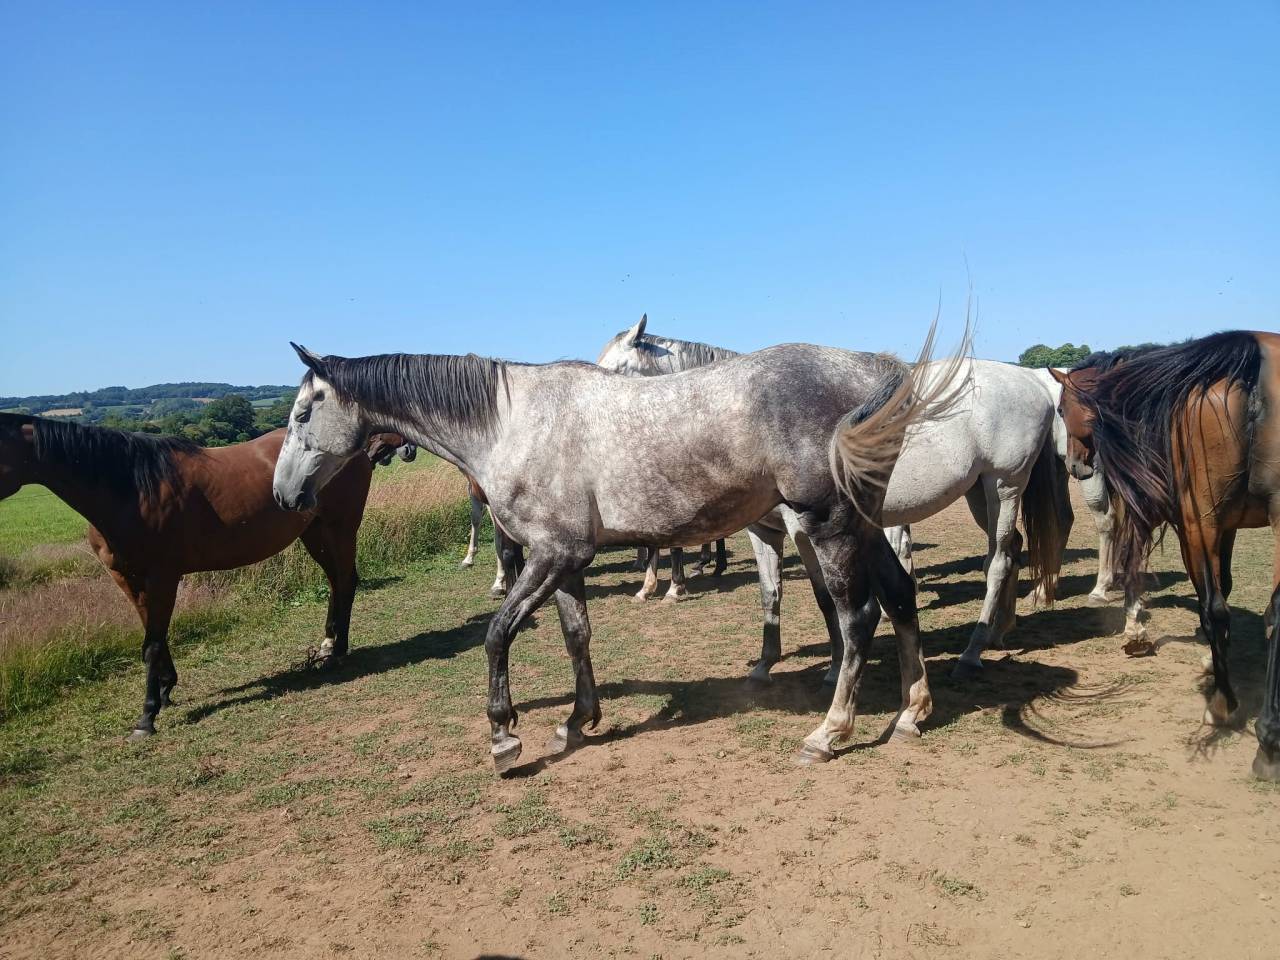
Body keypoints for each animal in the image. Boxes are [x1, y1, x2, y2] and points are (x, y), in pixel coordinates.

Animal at [0, 413, 394, 739]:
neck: (130, 491)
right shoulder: (128, 579)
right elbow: (153, 638)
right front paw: (165, 690)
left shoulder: (162, 577)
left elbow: (152, 643)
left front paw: (146, 717)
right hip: (315, 533)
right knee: (335, 583)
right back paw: (327, 645)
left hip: (339, 528)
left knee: (345, 582)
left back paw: (338, 650)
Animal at [273, 332, 967, 774]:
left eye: (305, 412)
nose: (285, 495)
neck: (509, 423)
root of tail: (875, 366)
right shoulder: (563, 560)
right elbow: (576, 635)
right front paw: (579, 720)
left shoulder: (551, 555)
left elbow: (497, 635)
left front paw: (503, 735)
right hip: (863, 525)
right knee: (900, 597)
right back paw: (913, 712)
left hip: (830, 525)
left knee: (858, 619)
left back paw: (829, 733)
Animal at [596, 318, 1063, 682]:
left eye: (616, 368)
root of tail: (1033, 382)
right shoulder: (763, 532)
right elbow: (770, 593)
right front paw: (765, 665)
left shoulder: (807, 531)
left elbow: (827, 598)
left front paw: (837, 667)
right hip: (978, 492)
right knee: (1012, 550)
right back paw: (1000, 631)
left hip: (1004, 485)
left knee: (999, 559)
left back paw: (971, 652)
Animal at [1051, 331, 1280, 781]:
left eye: (1061, 408)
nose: (1075, 467)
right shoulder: (1226, 527)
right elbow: (1224, 585)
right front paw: (1210, 659)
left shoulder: (1161, 514)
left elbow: (1137, 566)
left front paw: (1134, 628)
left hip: (1198, 523)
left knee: (1216, 609)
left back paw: (1223, 706)